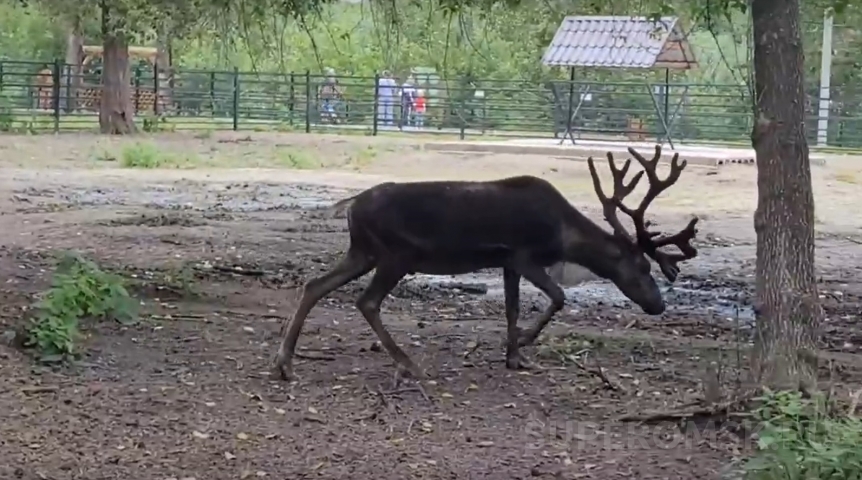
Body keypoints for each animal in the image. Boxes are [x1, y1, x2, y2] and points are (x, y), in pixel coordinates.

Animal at [271, 145, 699, 381]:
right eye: (643, 268)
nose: (659, 305)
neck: (563, 235)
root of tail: (349, 206)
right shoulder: (525, 254)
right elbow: (559, 297)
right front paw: (523, 343)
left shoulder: (507, 261)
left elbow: (511, 308)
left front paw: (514, 357)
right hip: (395, 253)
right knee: (367, 301)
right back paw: (410, 365)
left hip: (362, 251)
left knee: (314, 285)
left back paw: (285, 364)